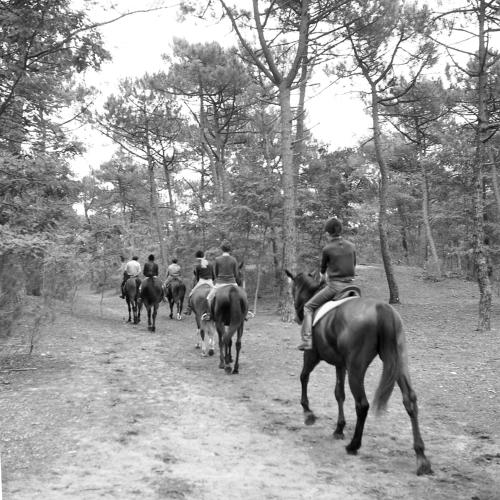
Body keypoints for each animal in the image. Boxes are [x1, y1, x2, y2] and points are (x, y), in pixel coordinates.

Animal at [288, 270, 432, 476]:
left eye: (292, 290)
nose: (297, 316)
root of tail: (382, 308)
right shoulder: (340, 365)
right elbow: (339, 394)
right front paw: (339, 429)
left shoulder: (311, 355)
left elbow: (303, 377)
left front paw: (308, 413)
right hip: (398, 363)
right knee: (409, 400)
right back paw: (421, 458)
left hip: (356, 369)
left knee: (362, 405)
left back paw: (354, 445)